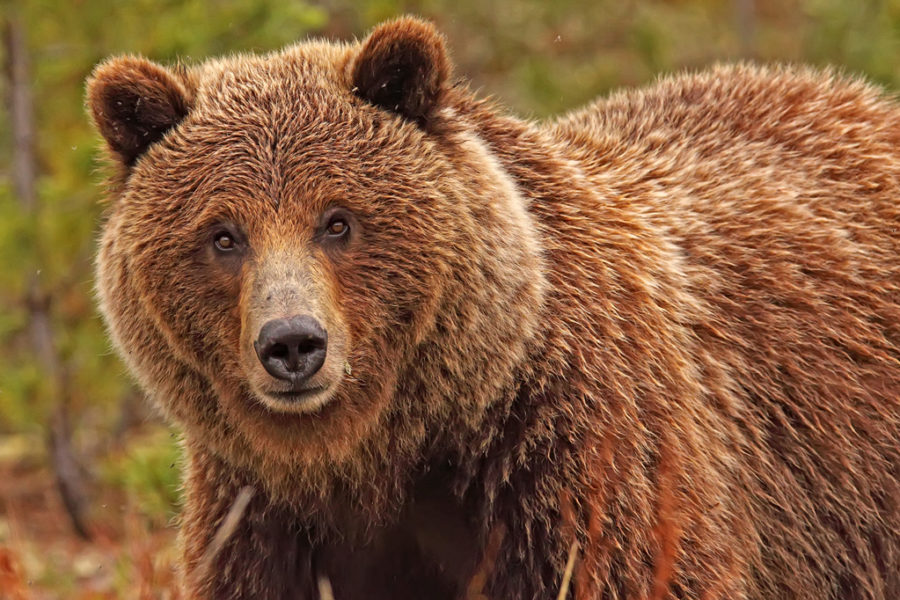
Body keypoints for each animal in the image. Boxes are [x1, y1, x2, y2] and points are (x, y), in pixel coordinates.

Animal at [89, 16, 900, 600]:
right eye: (223, 234)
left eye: (337, 220)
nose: (292, 344)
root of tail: (854, 93)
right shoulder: (264, 518)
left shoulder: (579, 465)